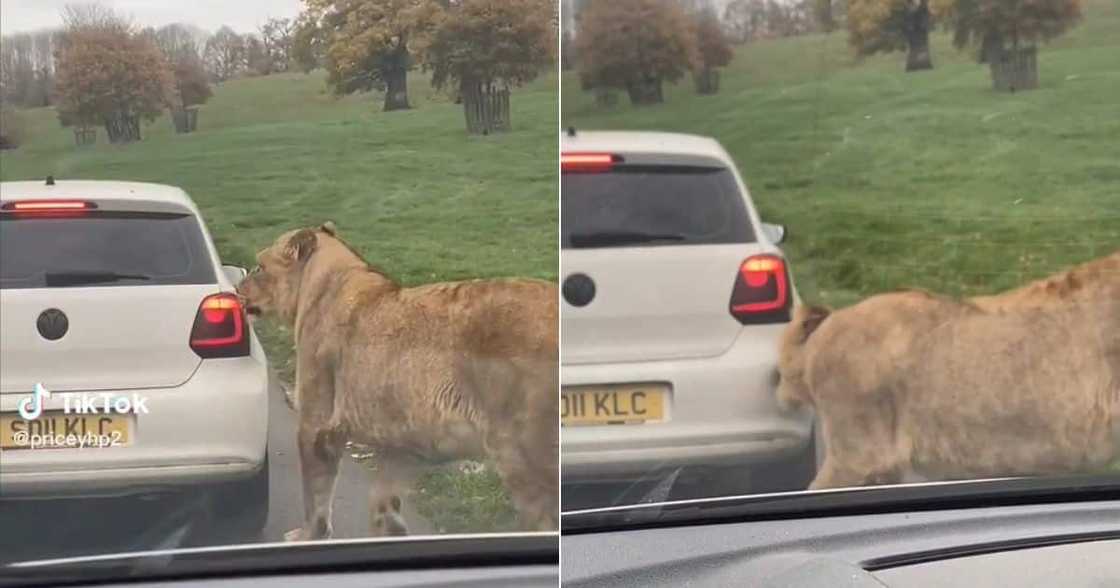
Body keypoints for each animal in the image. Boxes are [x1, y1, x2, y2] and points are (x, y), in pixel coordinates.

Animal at [241, 222, 564, 539]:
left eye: (259, 266)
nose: (239, 286)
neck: (328, 279)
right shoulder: (404, 444)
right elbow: (384, 499)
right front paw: (391, 530)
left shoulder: (317, 425)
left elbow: (315, 494)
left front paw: (308, 534)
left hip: (524, 455)